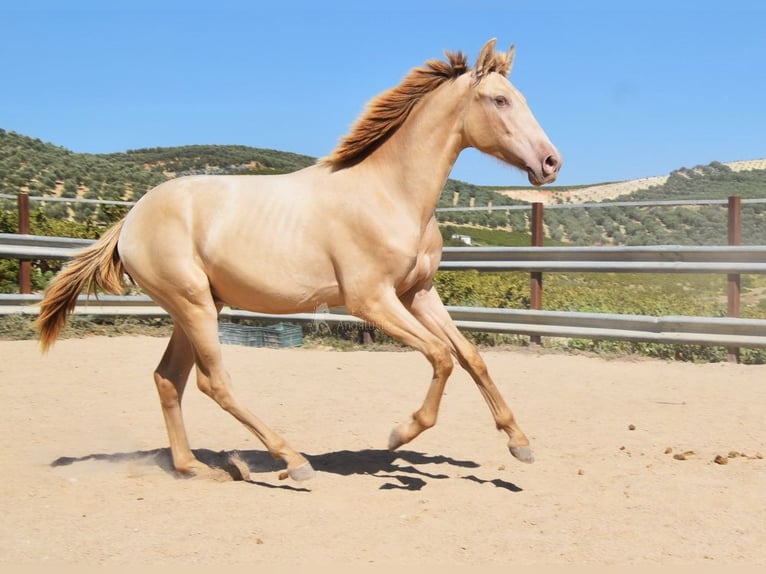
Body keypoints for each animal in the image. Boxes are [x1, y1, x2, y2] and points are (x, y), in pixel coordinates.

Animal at [37, 38, 564, 484]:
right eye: (500, 100)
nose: (551, 162)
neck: (389, 193)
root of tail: (130, 220)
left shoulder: (418, 293)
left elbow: (470, 357)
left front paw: (520, 443)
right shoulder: (371, 301)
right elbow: (440, 356)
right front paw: (400, 433)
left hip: (200, 307)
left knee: (169, 379)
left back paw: (194, 469)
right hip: (193, 306)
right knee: (213, 382)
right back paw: (292, 461)